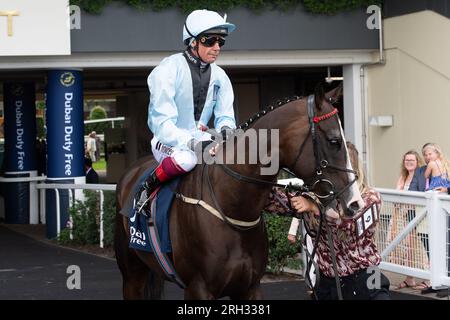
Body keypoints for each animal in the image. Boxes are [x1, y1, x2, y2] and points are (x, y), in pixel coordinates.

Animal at [114, 85, 364, 300]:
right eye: (334, 141)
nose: (354, 203)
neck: (230, 206)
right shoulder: (198, 289)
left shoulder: (249, 288)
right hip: (132, 276)